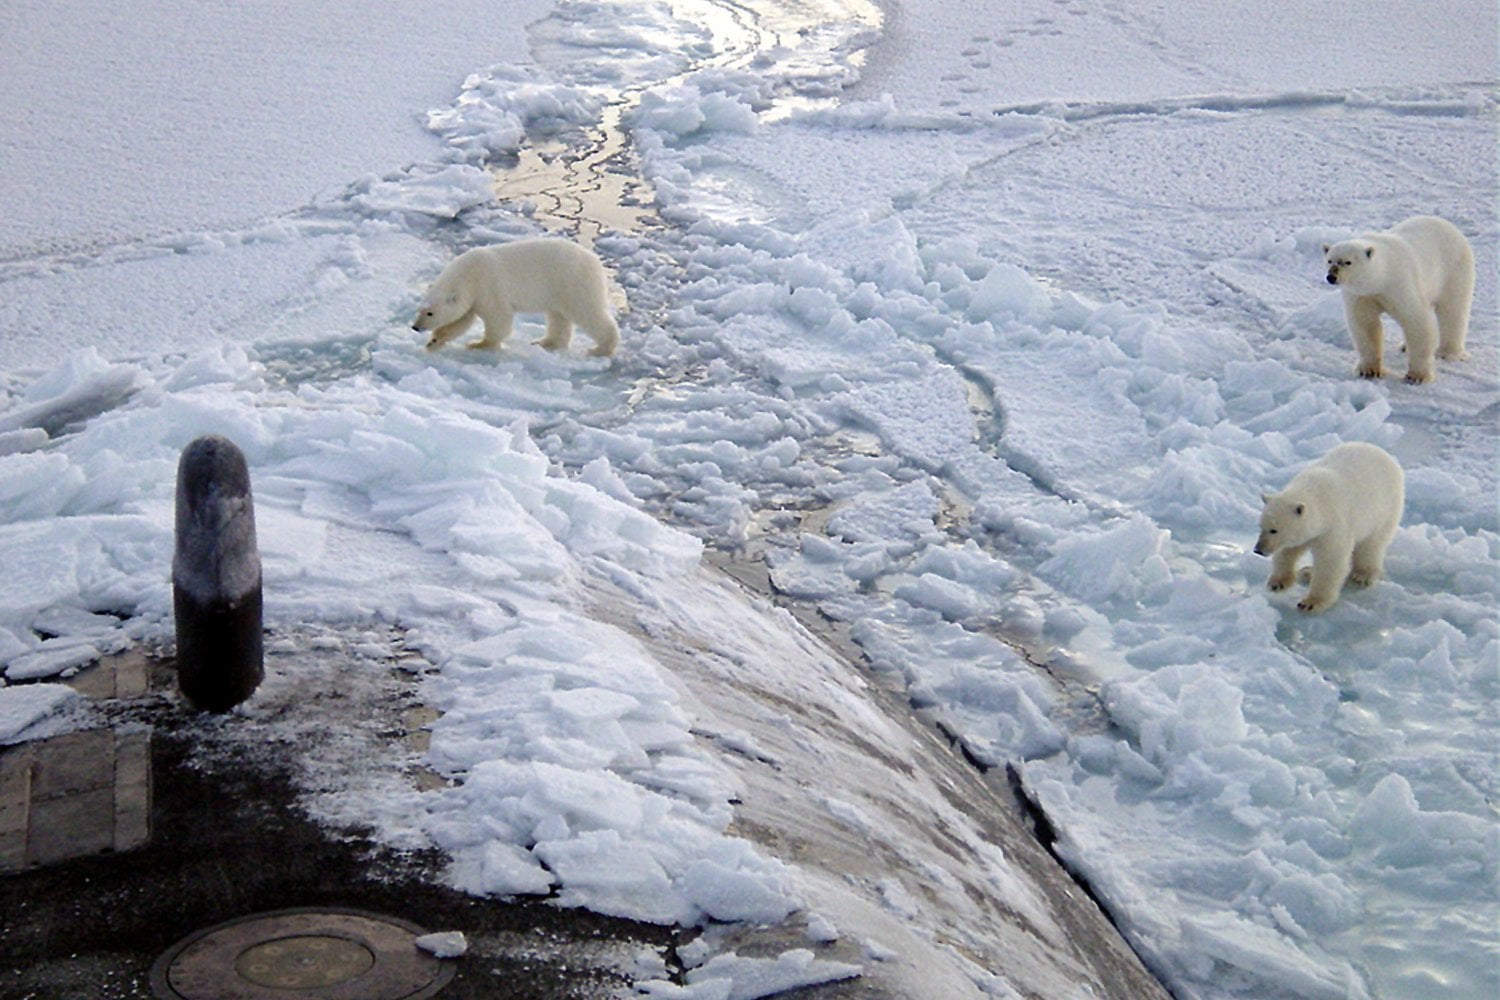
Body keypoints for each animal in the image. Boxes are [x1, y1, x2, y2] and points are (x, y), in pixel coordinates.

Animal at [413, 237, 620, 357]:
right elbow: (461, 320)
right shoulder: (472, 296)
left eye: (430, 313)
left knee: (587, 312)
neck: (469, 273)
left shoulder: (488, 286)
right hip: (559, 290)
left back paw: (601, 348)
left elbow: (498, 318)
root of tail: (596, 262)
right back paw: (546, 342)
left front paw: (479, 344)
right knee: (558, 316)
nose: (415, 327)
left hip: (573, 283)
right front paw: (434, 342)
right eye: (420, 310)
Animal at [1254, 442, 1404, 613]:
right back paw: (1307, 572)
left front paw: (1310, 602)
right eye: (1261, 526)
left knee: (1372, 545)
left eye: (1274, 530)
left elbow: (1331, 560)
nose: (1258, 549)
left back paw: (1362, 575)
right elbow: (1288, 551)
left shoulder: (1334, 524)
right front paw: (1277, 582)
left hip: (1384, 510)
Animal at [1323, 215, 1473, 384]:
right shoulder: (1362, 295)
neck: (1382, 276)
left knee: (1453, 310)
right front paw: (1369, 370)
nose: (1331, 277)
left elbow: (1417, 320)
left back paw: (1448, 352)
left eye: (1348, 262)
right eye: (1329, 260)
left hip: (1454, 270)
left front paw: (1416, 376)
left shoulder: (1400, 284)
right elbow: (1366, 325)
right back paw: (1405, 346)